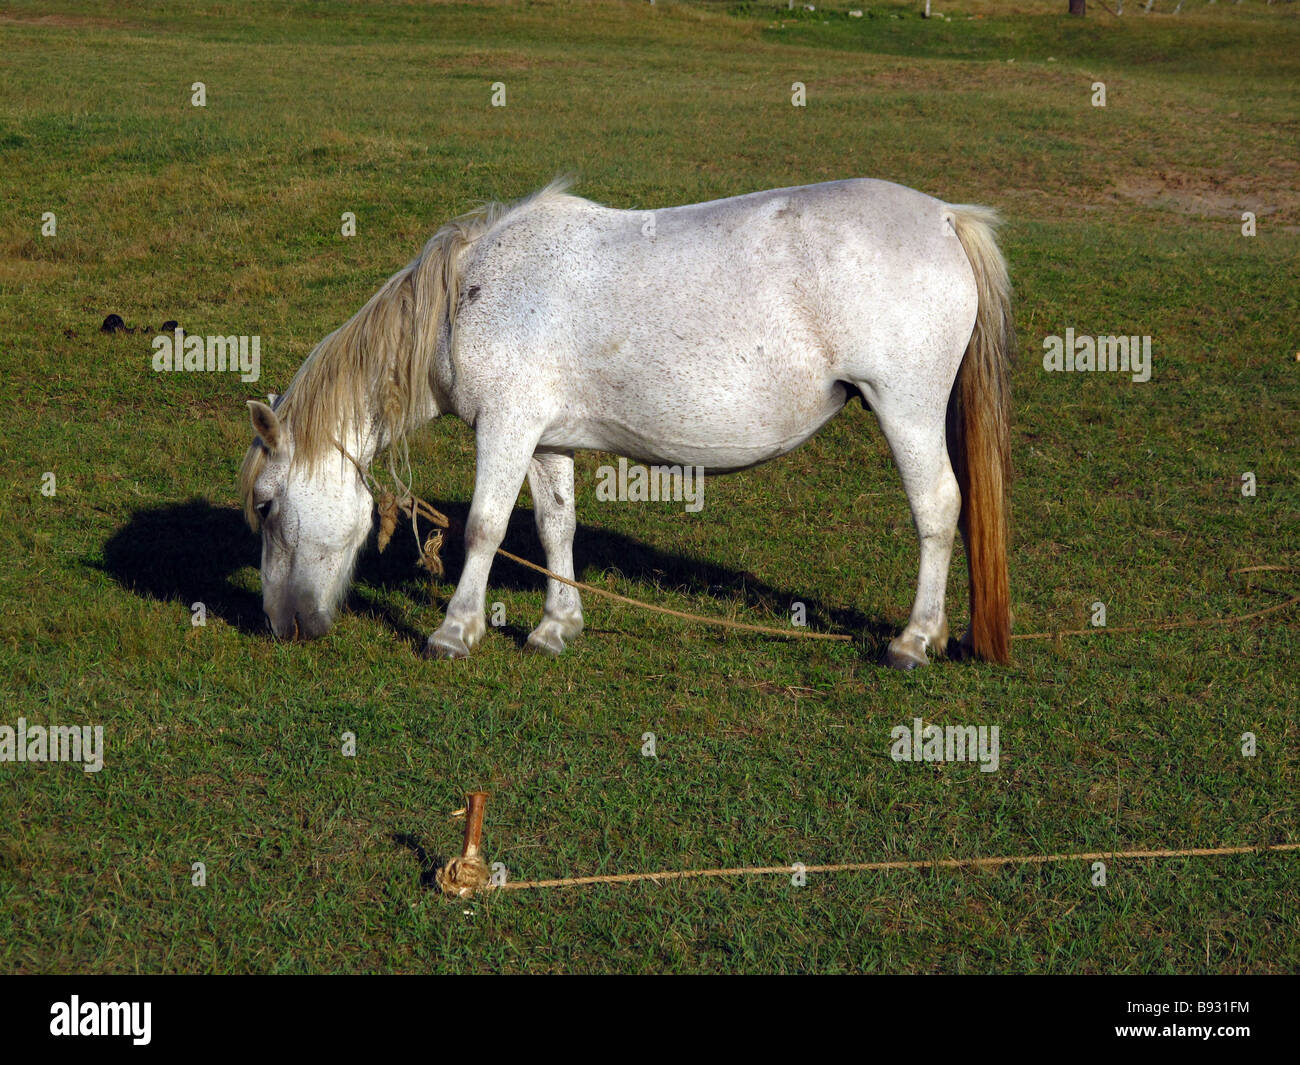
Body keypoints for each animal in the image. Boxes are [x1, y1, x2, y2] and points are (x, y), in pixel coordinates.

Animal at [238, 178, 1014, 669]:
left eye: (267, 505)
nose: (280, 626)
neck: (467, 299)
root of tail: (945, 218)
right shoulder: (544, 438)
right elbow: (555, 526)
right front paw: (557, 626)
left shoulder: (506, 427)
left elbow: (485, 528)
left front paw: (454, 632)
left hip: (905, 409)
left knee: (938, 508)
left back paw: (913, 640)